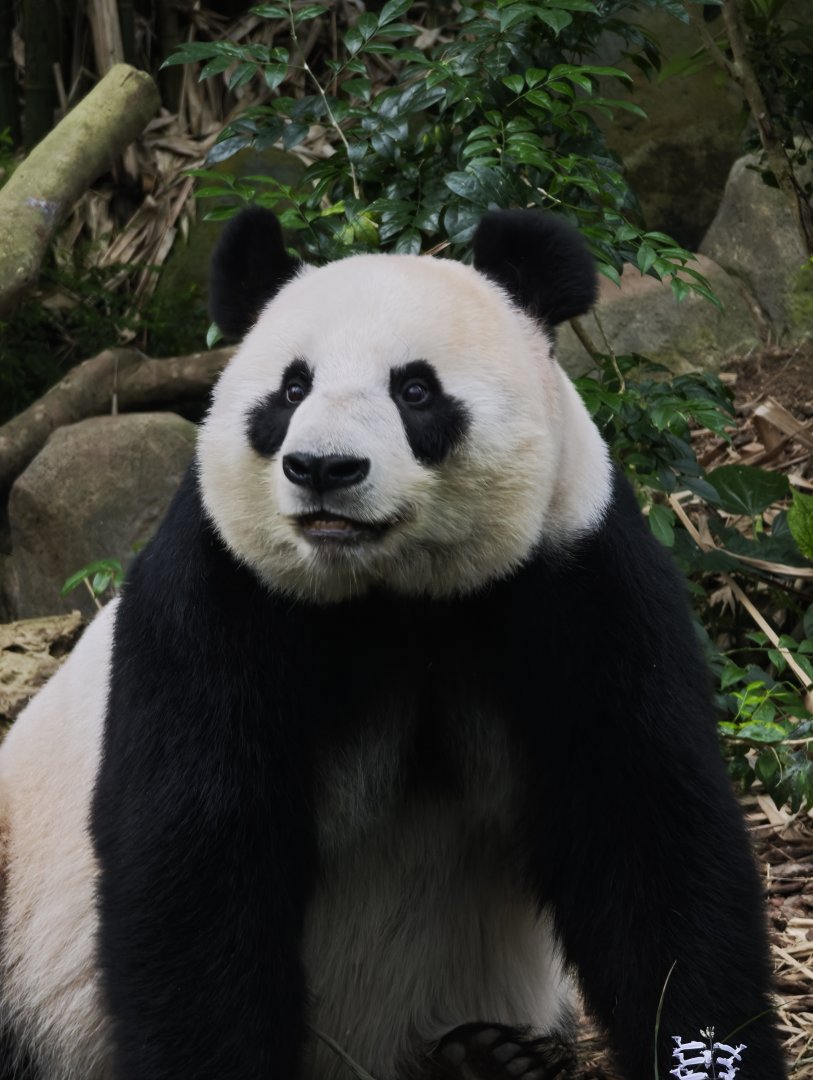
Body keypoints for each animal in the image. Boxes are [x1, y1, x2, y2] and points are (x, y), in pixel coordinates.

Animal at [0, 208, 787, 1080]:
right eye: (291, 389)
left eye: (415, 390)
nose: (323, 468)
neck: (391, 593)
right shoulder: (216, 598)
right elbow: (195, 855)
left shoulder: (574, 576)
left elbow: (644, 826)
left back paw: (491, 1058)